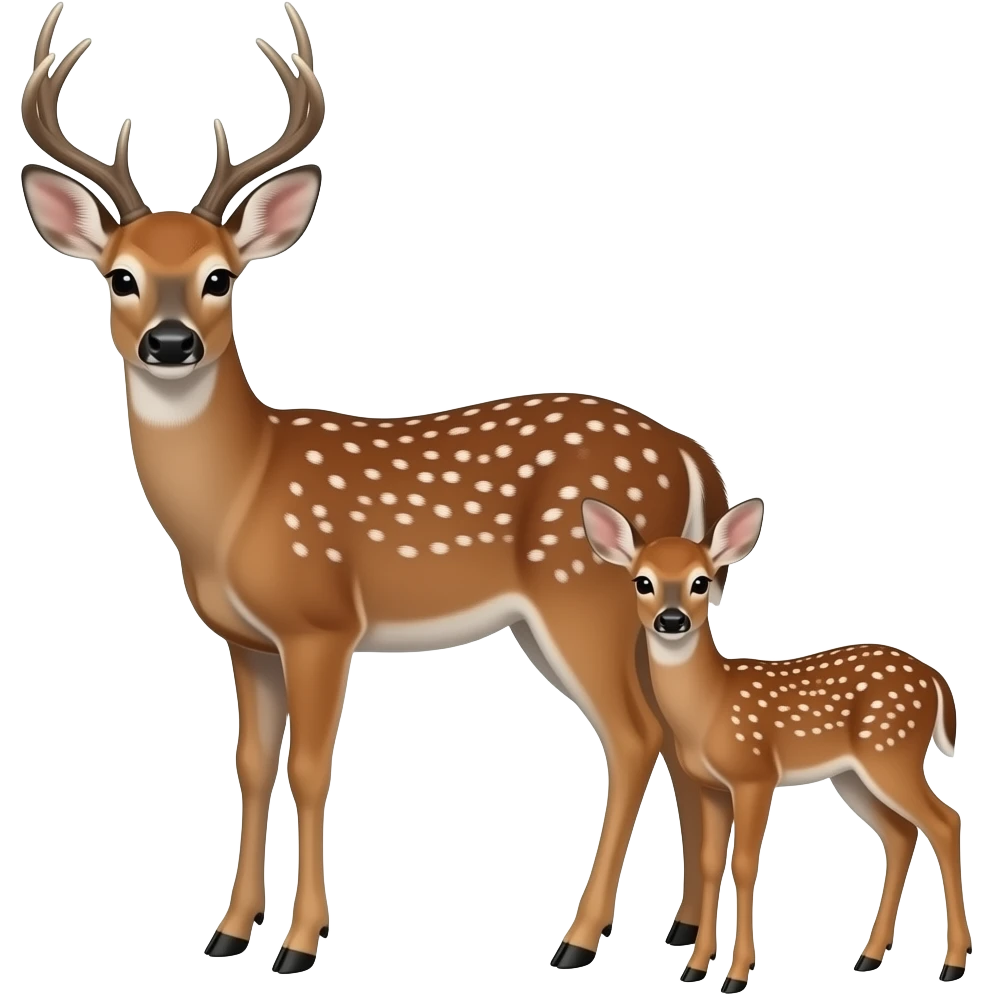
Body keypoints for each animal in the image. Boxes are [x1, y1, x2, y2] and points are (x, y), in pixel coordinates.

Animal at [18, 3, 739, 974]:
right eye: (120, 275)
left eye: (220, 277)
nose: (171, 343)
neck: (239, 494)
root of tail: (693, 455)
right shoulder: (246, 639)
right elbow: (251, 764)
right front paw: (228, 931)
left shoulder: (322, 619)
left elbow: (311, 767)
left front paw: (299, 943)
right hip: (624, 610)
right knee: (674, 737)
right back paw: (683, 931)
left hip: (581, 595)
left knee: (634, 739)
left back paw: (578, 940)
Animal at [580, 494, 972, 989]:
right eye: (643, 581)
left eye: (700, 581)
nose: (672, 620)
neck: (710, 705)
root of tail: (938, 681)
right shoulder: (711, 786)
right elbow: (710, 862)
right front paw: (695, 967)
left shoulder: (755, 774)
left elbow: (745, 863)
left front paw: (737, 973)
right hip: (853, 775)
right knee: (901, 834)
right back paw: (869, 956)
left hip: (892, 752)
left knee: (945, 821)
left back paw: (953, 962)